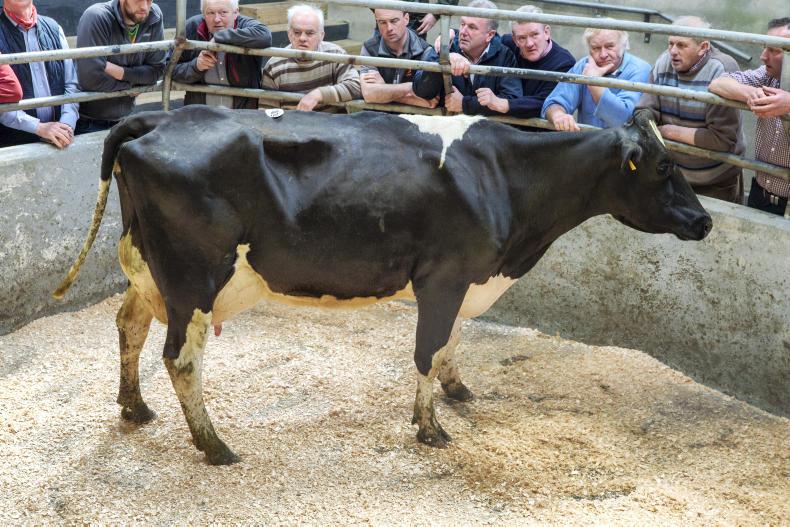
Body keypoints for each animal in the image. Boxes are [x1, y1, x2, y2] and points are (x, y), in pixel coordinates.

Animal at [54, 106, 712, 465]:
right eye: (663, 166)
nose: (704, 221)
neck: (504, 179)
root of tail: (157, 117)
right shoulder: (444, 277)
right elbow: (427, 351)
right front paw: (430, 428)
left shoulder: (465, 281)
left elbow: (450, 346)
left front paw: (458, 391)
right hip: (195, 278)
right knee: (182, 359)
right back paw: (215, 446)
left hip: (148, 270)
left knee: (130, 325)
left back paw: (134, 407)